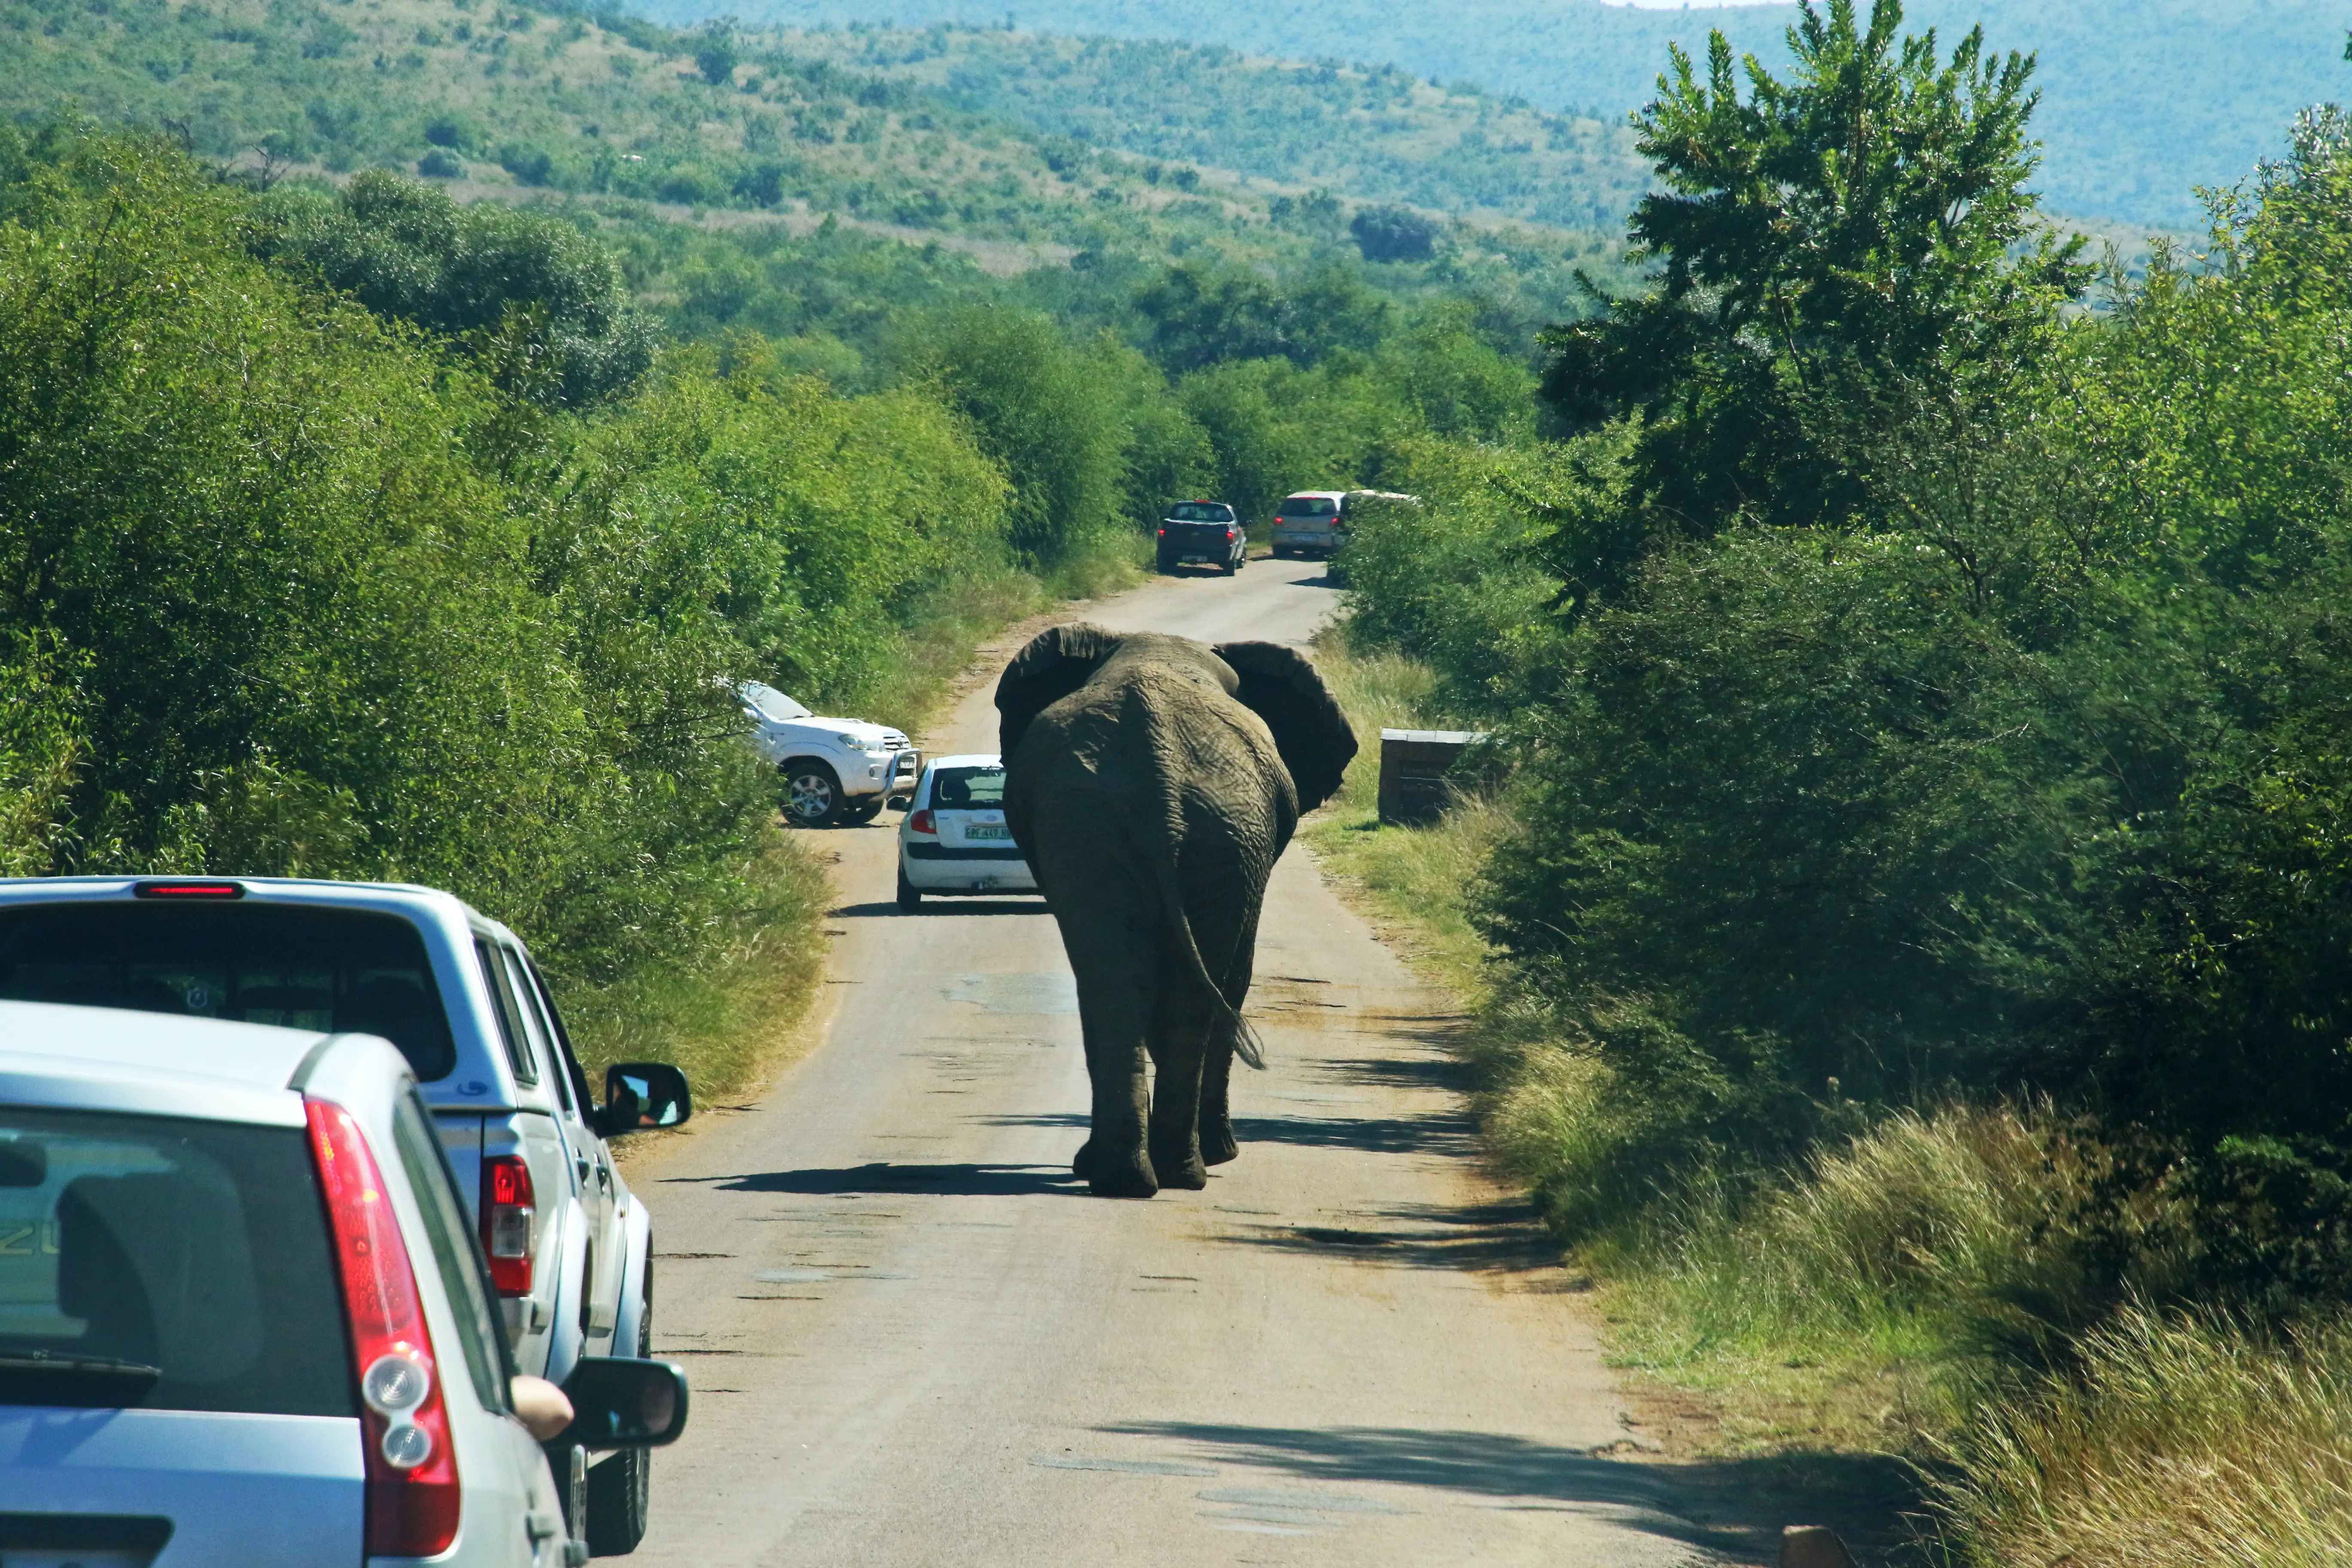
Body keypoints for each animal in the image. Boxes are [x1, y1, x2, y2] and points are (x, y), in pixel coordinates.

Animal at [992, 625, 1364, 1204]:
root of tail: (1158, 774)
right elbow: (1235, 978)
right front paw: (1223, 1154)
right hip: (1215, 835)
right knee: (1182, 992)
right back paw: (1181, 1171)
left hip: (1109, 830)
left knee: (1119, 986)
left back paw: (1131, 1179)